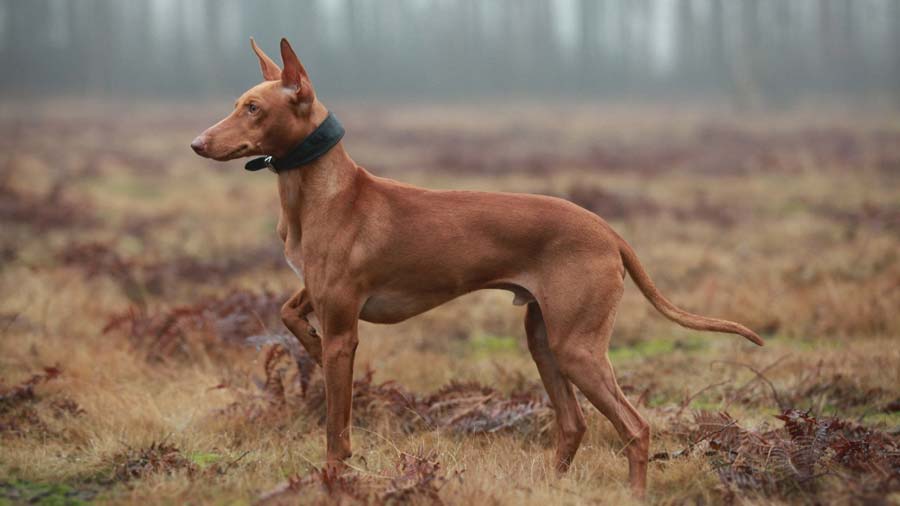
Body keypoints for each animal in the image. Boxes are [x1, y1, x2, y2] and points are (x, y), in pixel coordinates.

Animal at [188, 37, 760, 496]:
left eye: (254, 108)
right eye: (238, 104)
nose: (197, 143)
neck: (324, 194)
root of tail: (607, 230)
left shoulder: (344, 329)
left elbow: (336, 425)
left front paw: (333, 478)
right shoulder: (320, 298)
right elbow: (288, 313)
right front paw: (305, 341)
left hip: (577, 347)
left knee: (635, 427)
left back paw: (633, 493)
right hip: (544, 339)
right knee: (573, 424)